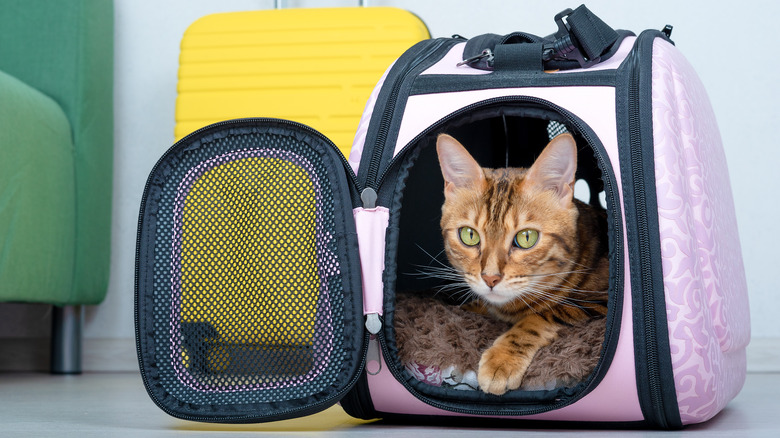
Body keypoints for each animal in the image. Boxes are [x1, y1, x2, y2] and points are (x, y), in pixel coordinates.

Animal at [432, 132, 608, 396]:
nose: (490, 278)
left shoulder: (597, 302)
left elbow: (540, 316)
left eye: (526, 238)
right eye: (469, 235)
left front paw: (502, 359)